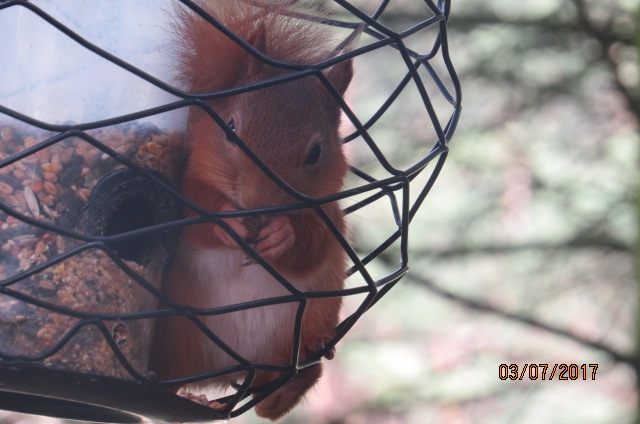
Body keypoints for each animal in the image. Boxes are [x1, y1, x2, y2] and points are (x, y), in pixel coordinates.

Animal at [150, 1, 354, 420]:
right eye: (228, 126)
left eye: (317, 151)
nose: (259, 203)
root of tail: (223, 370)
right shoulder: (185, 187)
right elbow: (192, 219)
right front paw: (228, 227)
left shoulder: (329, 213)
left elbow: (314, 246)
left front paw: (283, 234)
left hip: (302, 327)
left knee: (269, 401)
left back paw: (295, 379)